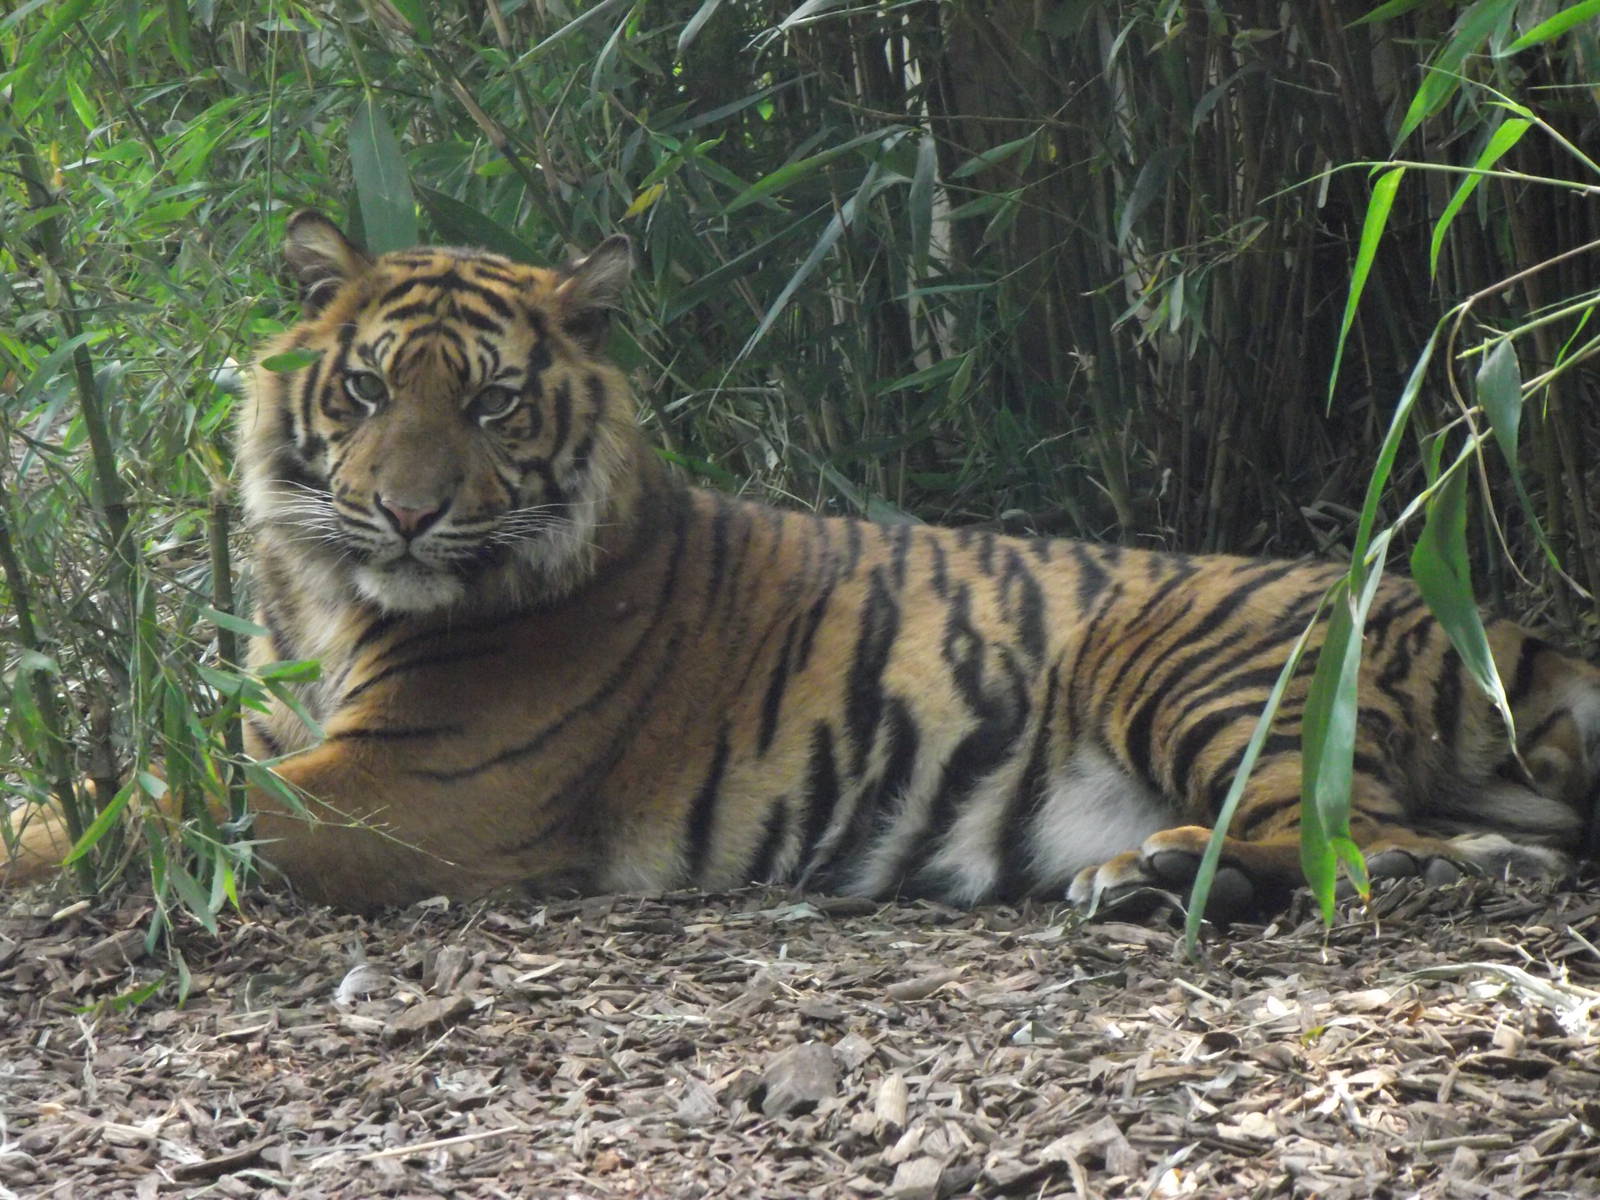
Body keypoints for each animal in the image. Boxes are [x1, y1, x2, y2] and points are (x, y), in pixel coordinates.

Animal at [4, 210, 1598, 918]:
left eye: (494, 405)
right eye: (367, 391)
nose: (401, 515)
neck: (332, 601)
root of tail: (1489, 616)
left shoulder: (402, 794)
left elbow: (140, 814)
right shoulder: (293, 737)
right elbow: (138, 788)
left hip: (1191, 666)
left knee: (1390, 845)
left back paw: (1166, 874)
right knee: (1482, 845)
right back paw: (1150, 875)